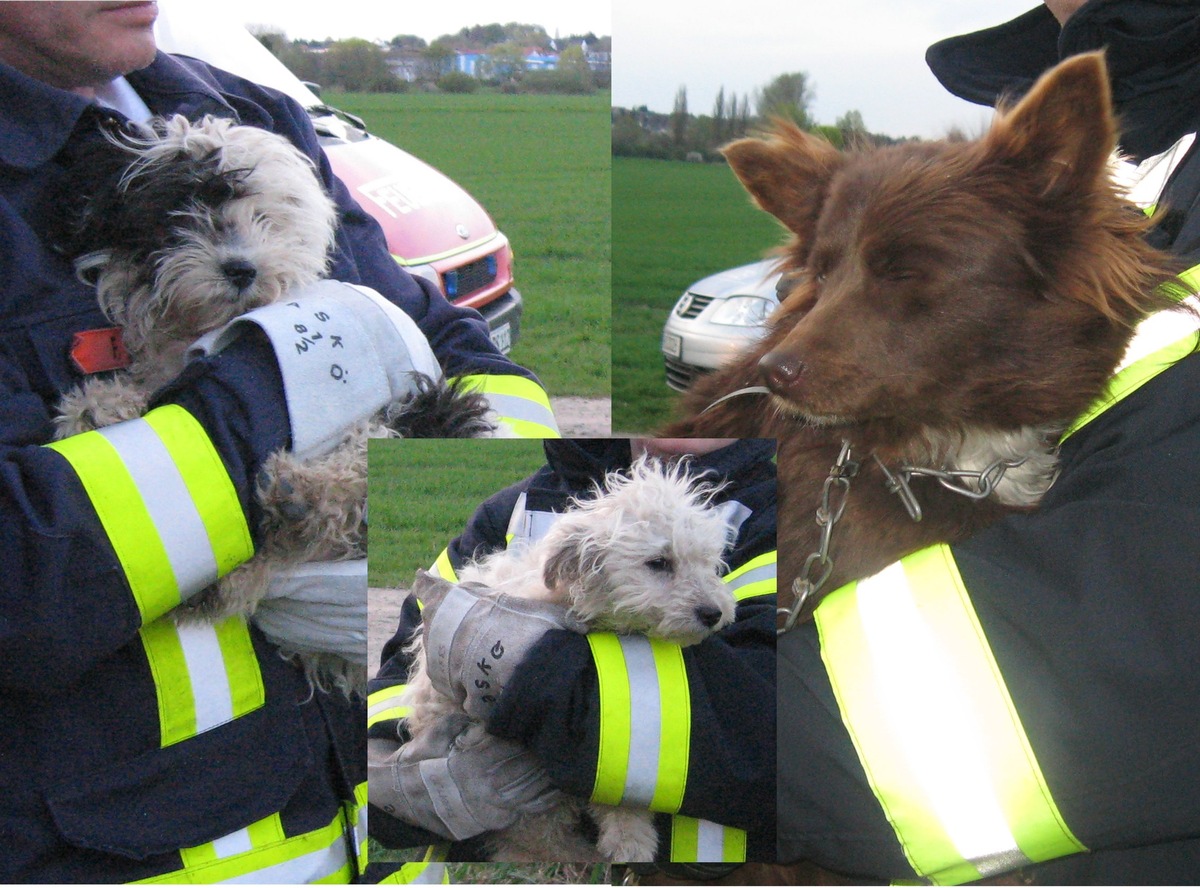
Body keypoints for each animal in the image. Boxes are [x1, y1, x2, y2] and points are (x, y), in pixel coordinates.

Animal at [50, 112, 492, 696]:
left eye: (265, 218)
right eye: (183, 215)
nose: (241, 268)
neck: (199, 329)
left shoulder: (427, 404)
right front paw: (101, 404)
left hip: (419, 415)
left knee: (361, 460)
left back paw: (304, 495)